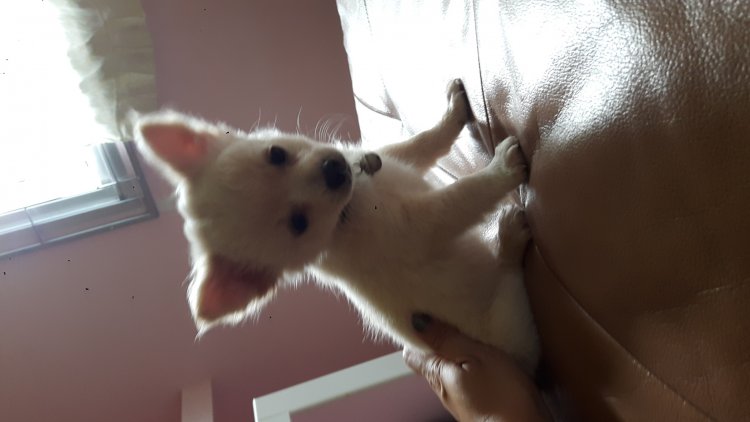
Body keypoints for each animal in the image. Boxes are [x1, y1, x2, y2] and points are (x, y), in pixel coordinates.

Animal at [135, 80, 539, 372]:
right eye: (299, 223)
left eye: (276, 153)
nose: (336, 170)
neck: (349, 209)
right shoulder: (421, 228)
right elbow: (462, 195)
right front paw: (501, 171)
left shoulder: (389, 157)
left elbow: (424, 143)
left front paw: (452, 114)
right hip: (507, 319)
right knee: (512, 283)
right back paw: (509, 238)